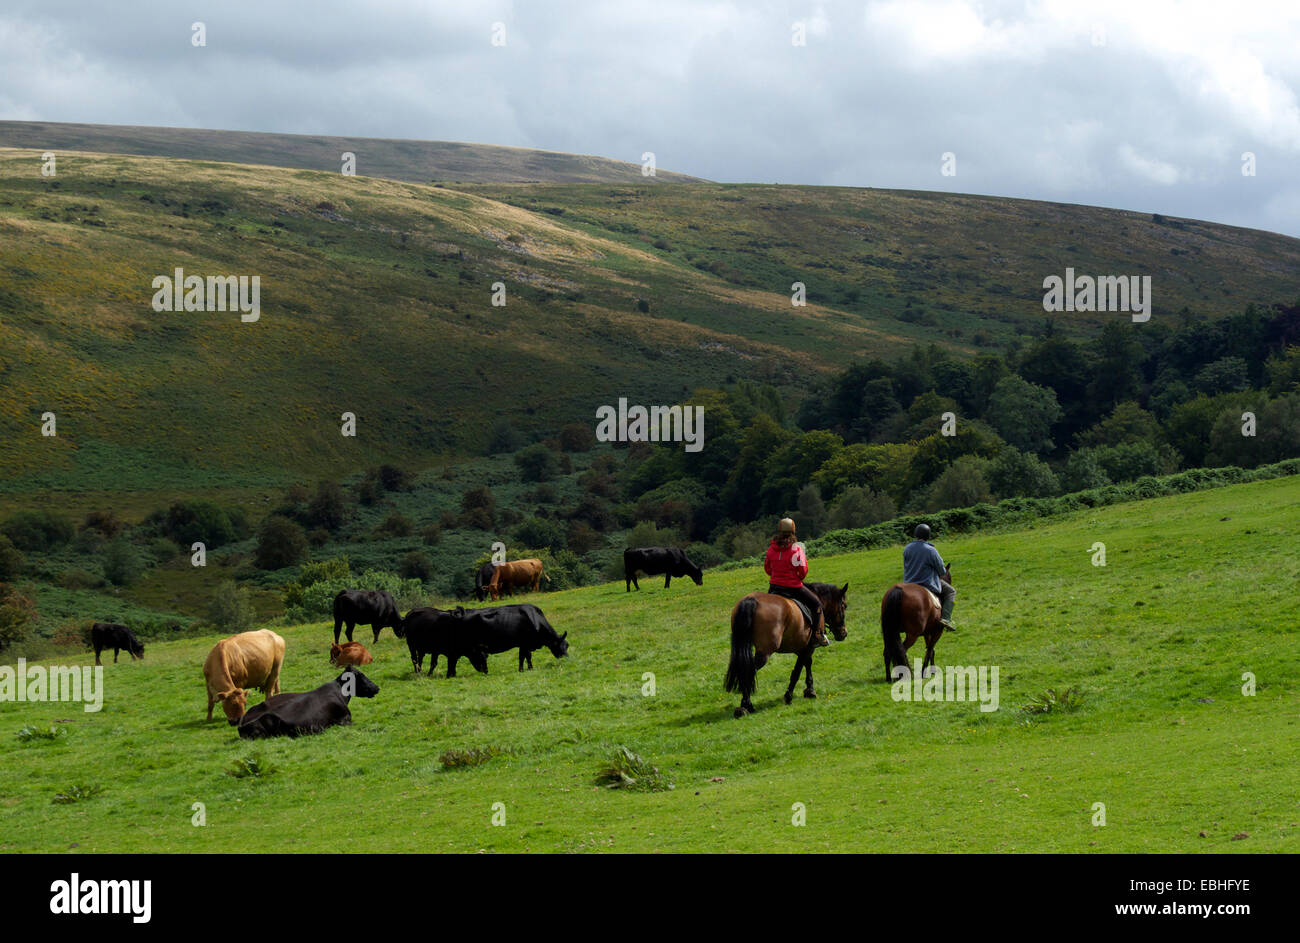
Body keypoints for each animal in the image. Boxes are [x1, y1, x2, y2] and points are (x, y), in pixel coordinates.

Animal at [728, 577, 847, 717]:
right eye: (844, 606)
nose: (844, 633)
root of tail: (750, 600)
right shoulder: (808, 647)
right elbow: (798, 669)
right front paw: (790, 695)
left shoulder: (800, 647)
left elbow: (806, 663)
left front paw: (809, 690)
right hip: (765, 652)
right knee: (750, 671)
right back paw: (746, 705)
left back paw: (744, 705)